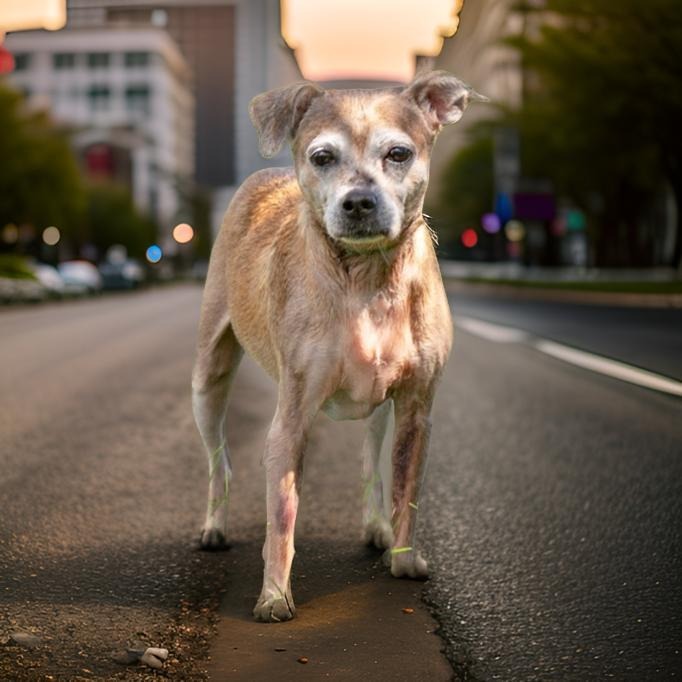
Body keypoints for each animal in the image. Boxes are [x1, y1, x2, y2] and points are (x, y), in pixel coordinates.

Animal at [191, 71, 484, 620]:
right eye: (323, 156)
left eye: (399, 153)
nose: (359, 201)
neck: (367, 278)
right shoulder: (291, 418)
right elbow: (282, 515)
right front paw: (274, 595)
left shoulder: (417, 411)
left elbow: (406, 489)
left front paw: (404, 560)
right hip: (208, 376)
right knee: (219, 460)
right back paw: (214, 526)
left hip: (379, 410)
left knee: (372, 463)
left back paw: (378, 528)